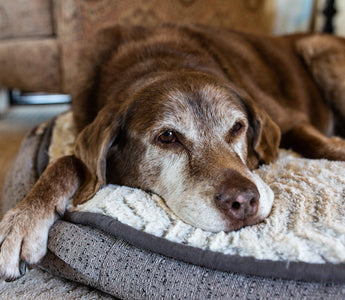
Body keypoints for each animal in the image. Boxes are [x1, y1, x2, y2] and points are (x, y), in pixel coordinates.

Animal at [0, 24, 344, 280]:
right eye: (167, 137)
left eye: (237, 127)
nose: (244, 202)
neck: (161, 60)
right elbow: (65, 162)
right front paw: (22, 221)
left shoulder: (289, 119)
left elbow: (317, 143)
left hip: (318, 50)